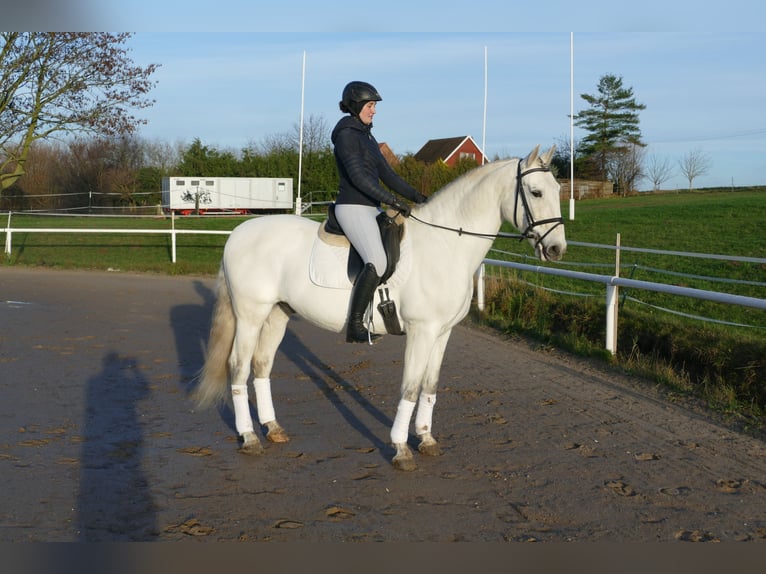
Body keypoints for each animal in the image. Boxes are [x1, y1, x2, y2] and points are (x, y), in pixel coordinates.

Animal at [195, 144, 568, 472]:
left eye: (557, 189)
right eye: (536, 192)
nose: (556, 249)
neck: (446, 244)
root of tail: (238, 233)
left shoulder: (442, 333)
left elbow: (430, 385)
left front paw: (426, 439)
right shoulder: (421, 331)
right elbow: (411, 387)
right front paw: (402, 449)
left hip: (277, 314)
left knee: (261, 365)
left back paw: (272, 429)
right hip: (251, 315)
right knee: (238, 366)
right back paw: (248, 437)